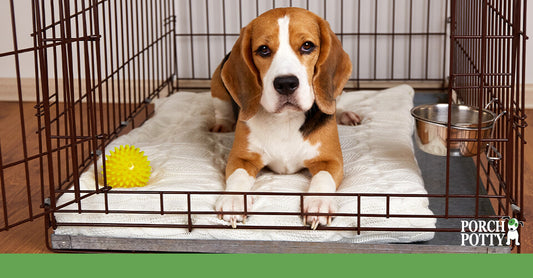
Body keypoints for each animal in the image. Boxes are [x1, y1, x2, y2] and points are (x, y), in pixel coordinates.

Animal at [210, 7, 356, 229]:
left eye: (307, 46)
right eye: (263, 49)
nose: (286, 83)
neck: (285, 119)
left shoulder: (330, 159)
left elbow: (323, 178)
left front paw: (319, 202)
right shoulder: (241, 157)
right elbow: (238, 176)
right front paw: (233, 199)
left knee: (337, 100)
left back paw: (345, 114)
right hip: (217, 82)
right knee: (221, 108)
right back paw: (221, 124)